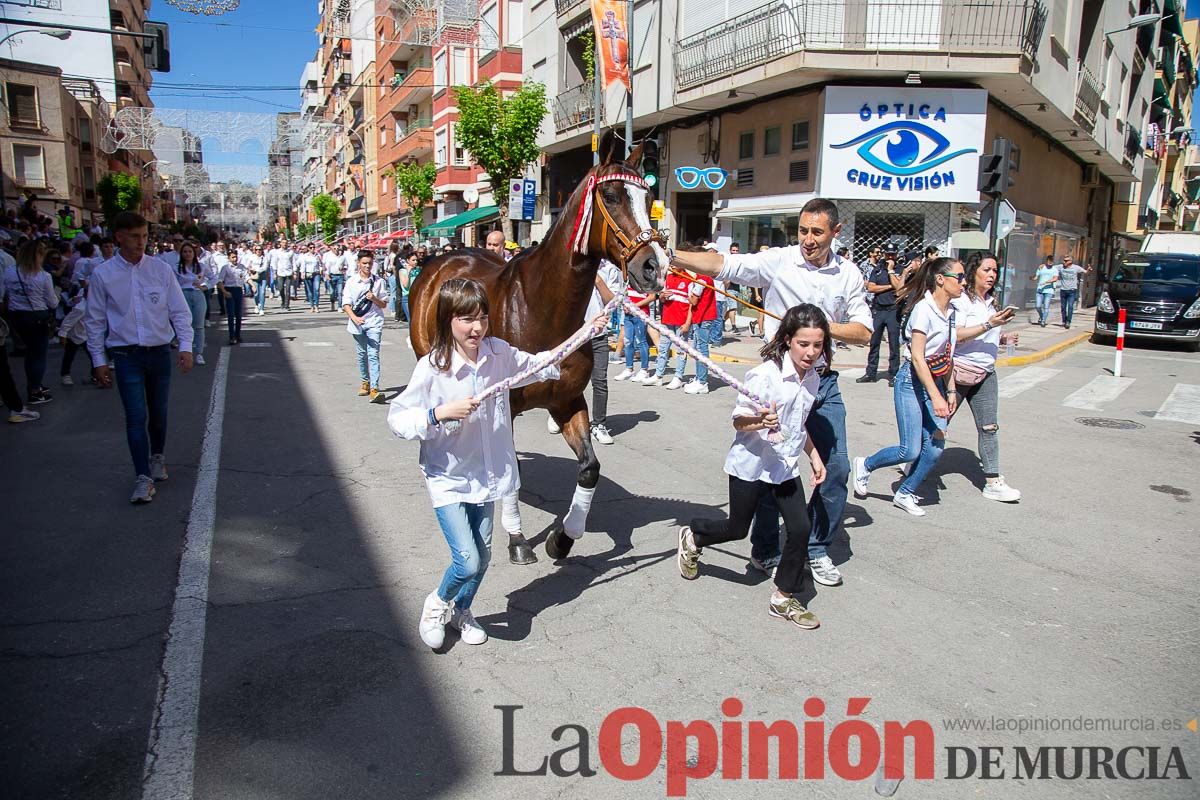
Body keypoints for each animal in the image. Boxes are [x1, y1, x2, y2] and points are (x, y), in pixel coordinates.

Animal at [403, 137, 667, 561]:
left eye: (649, 197)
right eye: (611, 196)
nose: (655, 267)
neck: (540, 309)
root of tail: (442, 259)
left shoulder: (568, 401)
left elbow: (589, 468)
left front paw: (564, 537)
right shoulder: (506, 405)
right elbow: (511, 471)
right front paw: (517, 540)